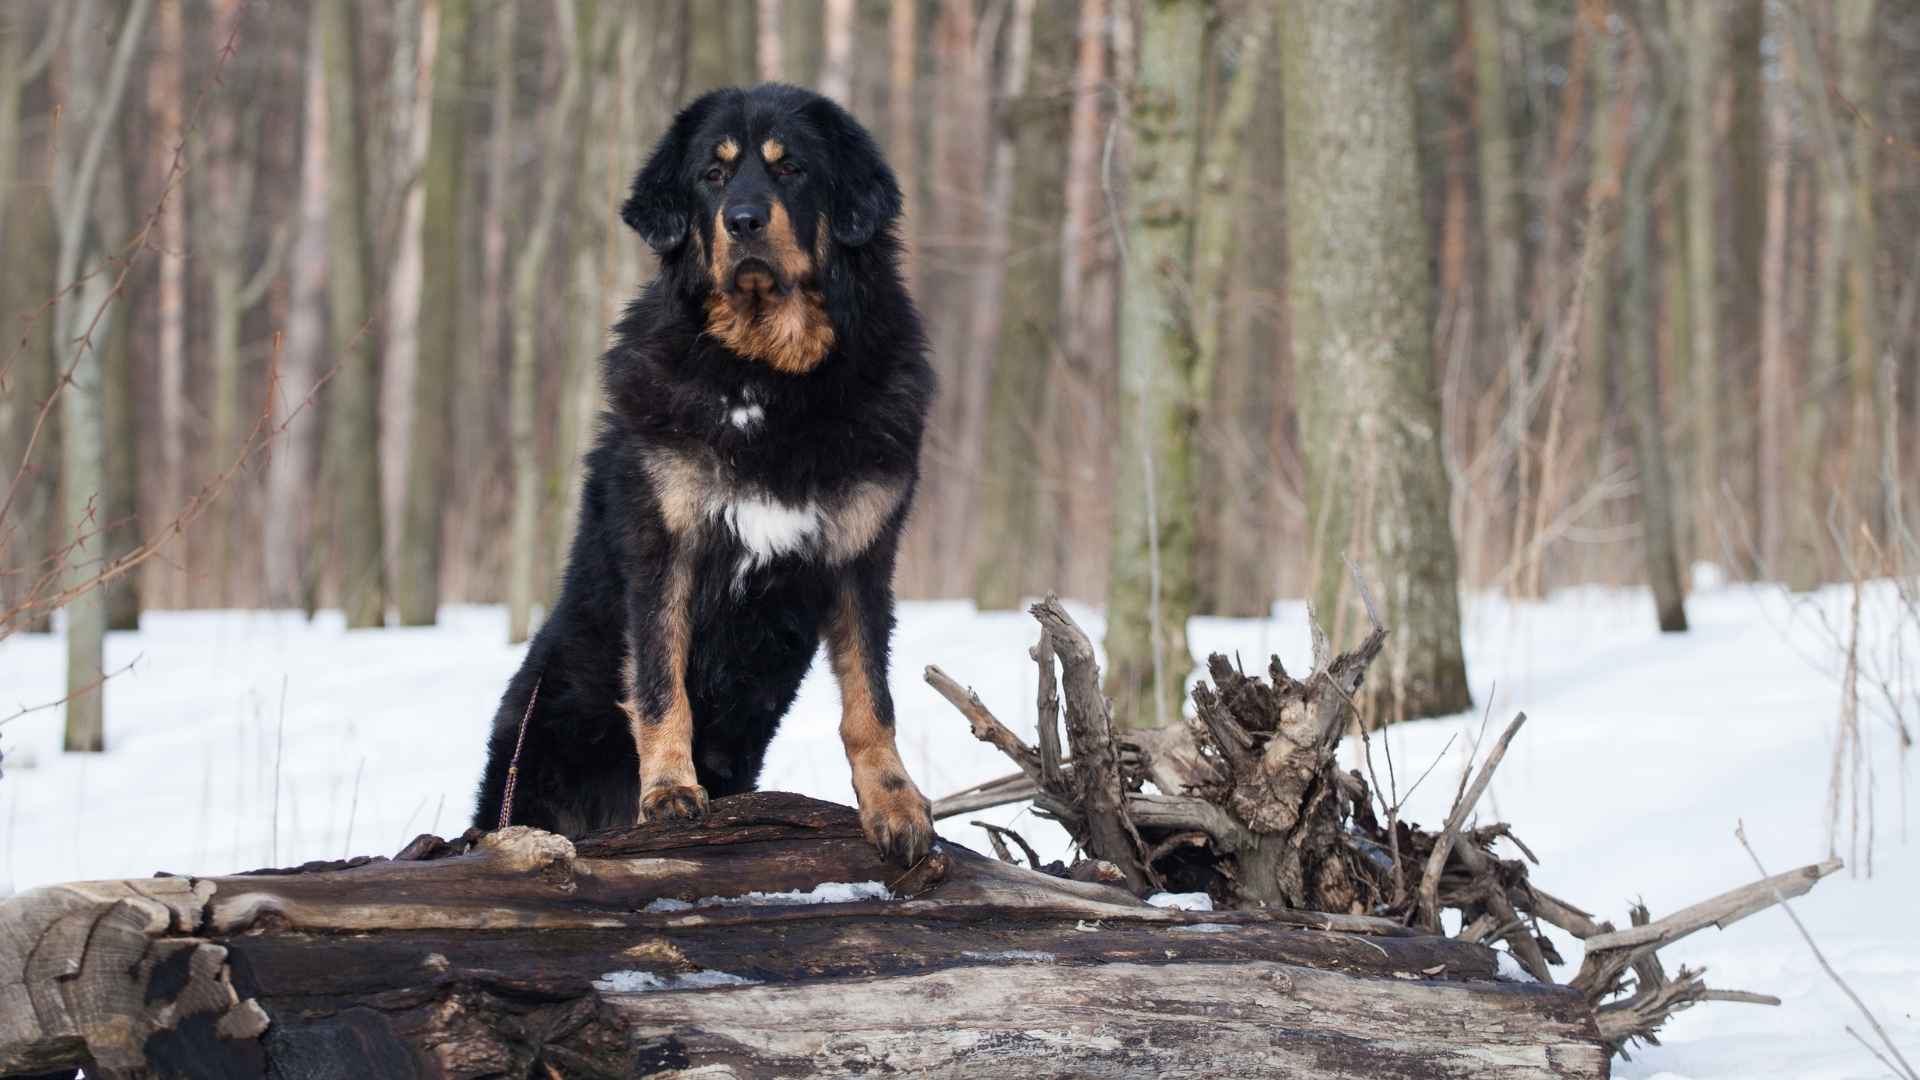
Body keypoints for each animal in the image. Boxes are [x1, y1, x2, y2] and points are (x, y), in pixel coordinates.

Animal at [472, 82, 936, 864]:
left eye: (791, 169)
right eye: (712, 176)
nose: (742, 220)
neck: (769, 375)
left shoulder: (861, 554)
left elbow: (871, 703)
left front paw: (896, 804)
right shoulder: (664, 546)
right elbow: (662, 685)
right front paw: (668, 792)